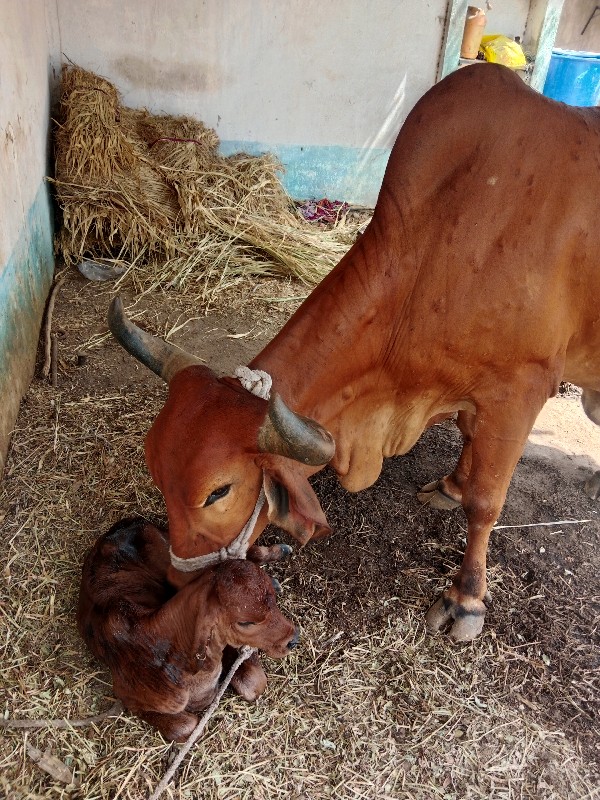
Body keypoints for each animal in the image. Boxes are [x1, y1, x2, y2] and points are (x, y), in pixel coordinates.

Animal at [77, 520, 298, 740]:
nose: (293, 639)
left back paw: (279, 553)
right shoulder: (128, 699)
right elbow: (186, 726)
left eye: (273, 603)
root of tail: (116, 528)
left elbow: (253, 683)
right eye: (245, 622)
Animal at [108, 65, 600, 648]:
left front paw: (466, 598)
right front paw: (451, 485)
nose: (180, 581)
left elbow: (486, 501)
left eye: (218, 492)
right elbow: (468, 442)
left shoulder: (519, 390)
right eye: (155, 467)